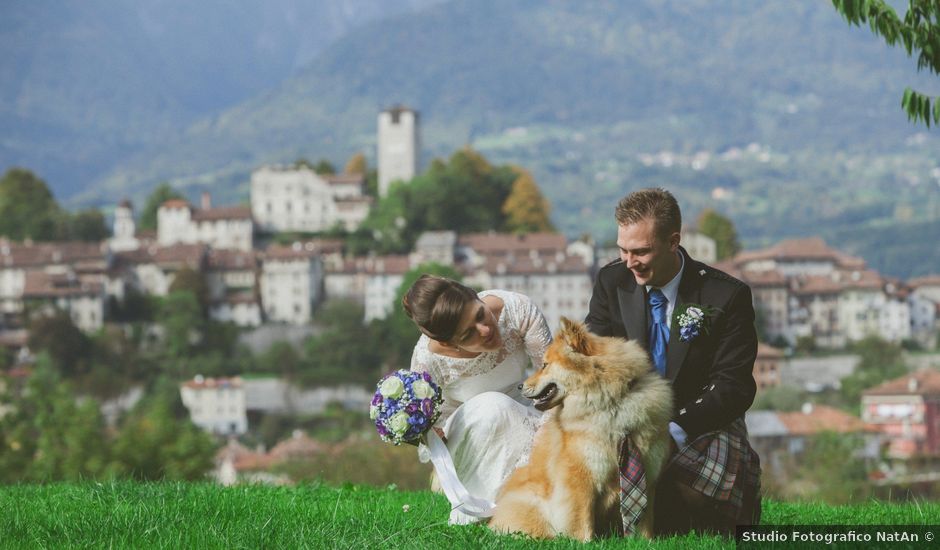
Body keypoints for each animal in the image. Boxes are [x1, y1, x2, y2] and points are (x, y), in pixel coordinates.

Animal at [488, 320, 672, 544]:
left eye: (545, 365)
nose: (520, 385)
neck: (612, 403)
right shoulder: (579, 478)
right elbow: (580, 521)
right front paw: (583, 543)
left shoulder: (649, 476)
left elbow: (645, 521)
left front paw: (644, 542)